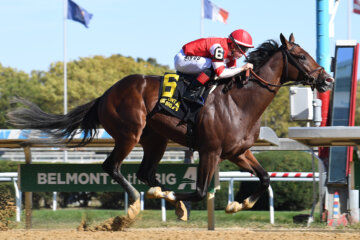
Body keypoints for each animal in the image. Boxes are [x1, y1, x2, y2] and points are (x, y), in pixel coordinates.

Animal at [8, 34, 334, 221]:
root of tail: (106, 94)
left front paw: (236, 205)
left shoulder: (238, 152)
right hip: (129, 133)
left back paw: (159, 194)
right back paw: (137, 203)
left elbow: (265, 177)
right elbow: (200, 192)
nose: (327, 79)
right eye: (301, 56)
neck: (240, 102)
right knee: (112, 167)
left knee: (145, 173)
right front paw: (179, 201)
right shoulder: (210, 151)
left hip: (156, 140)